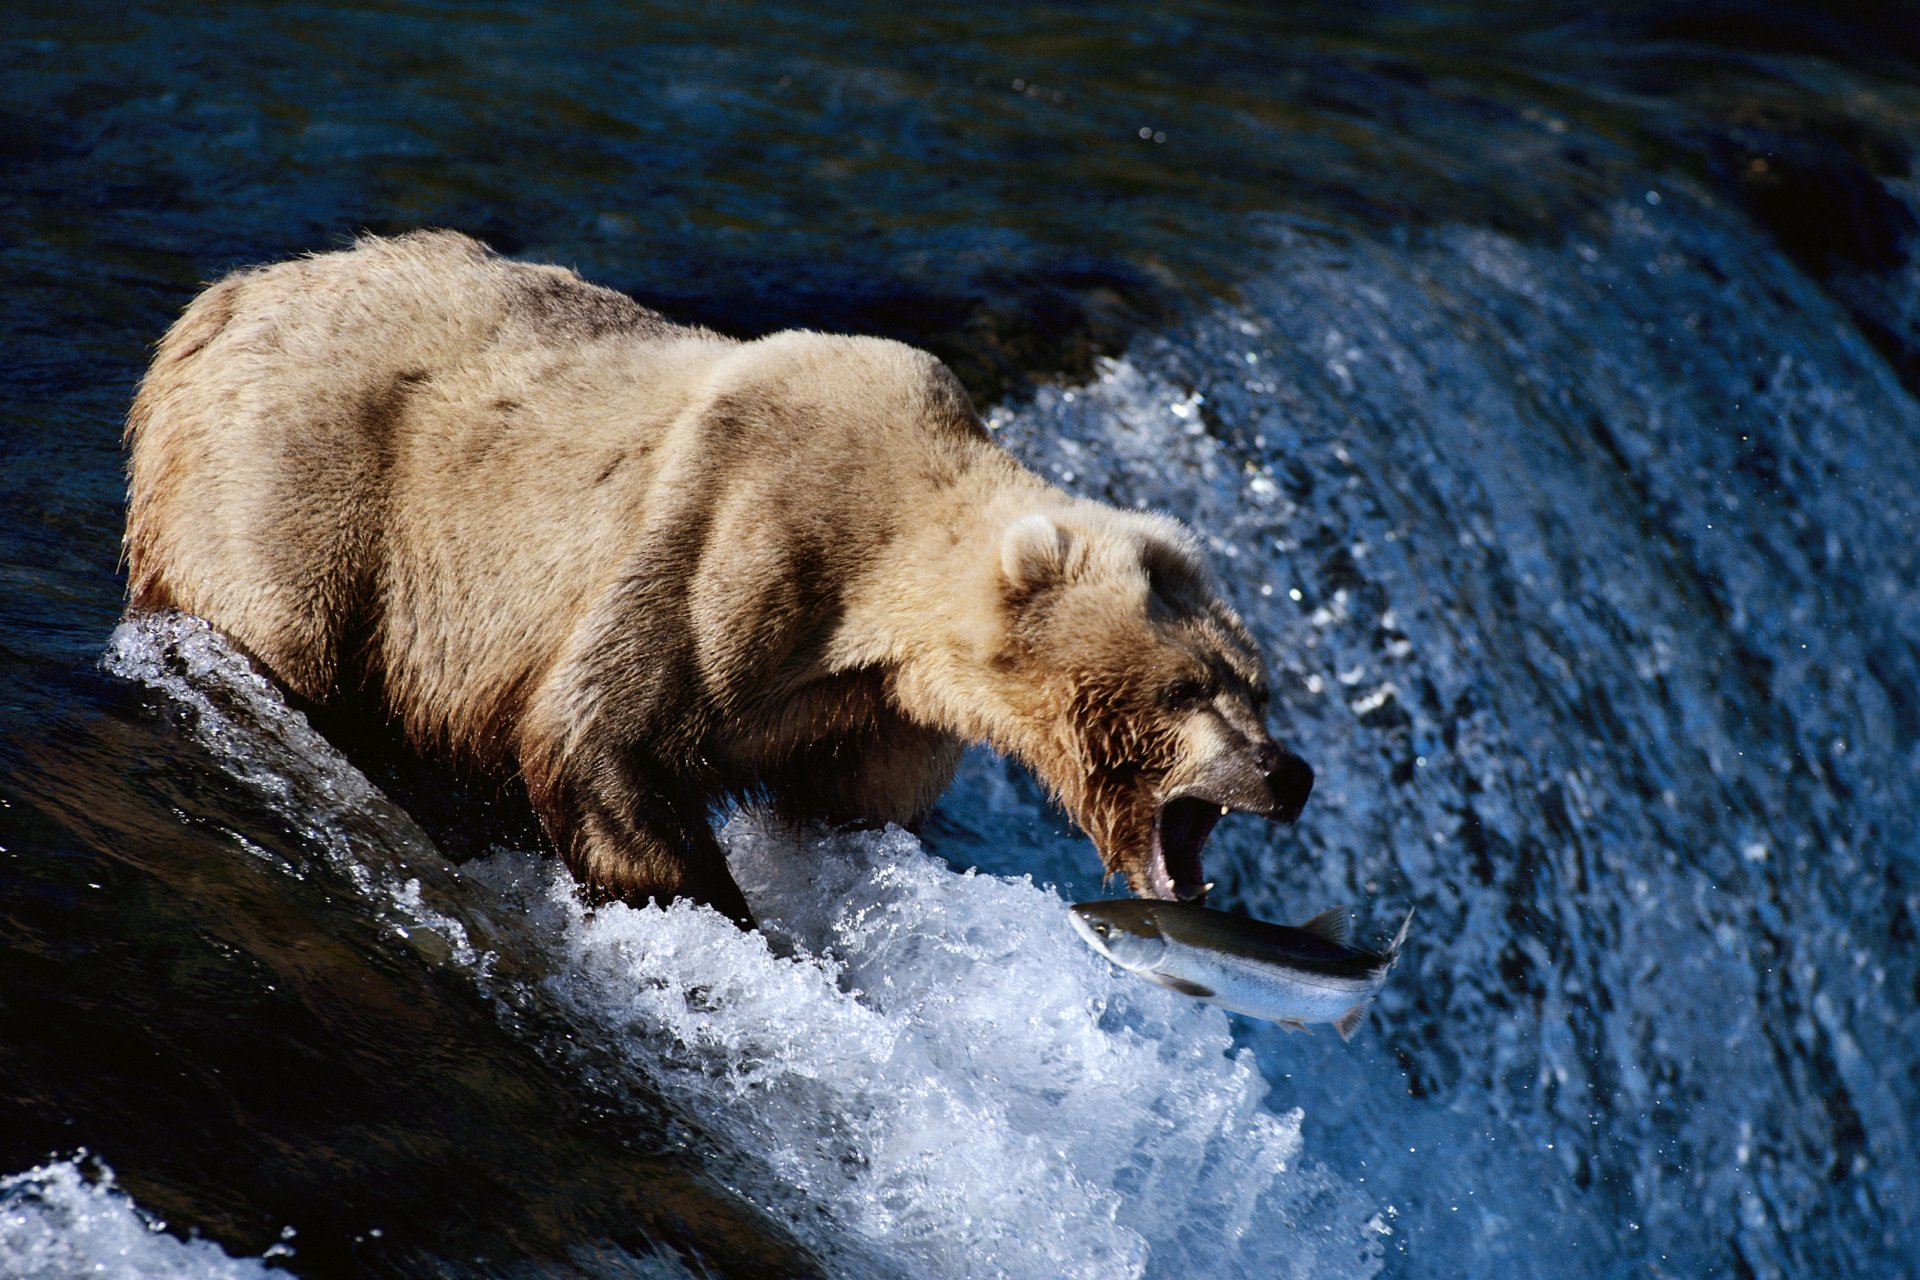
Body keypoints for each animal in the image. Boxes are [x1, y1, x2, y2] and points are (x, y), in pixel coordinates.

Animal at [120, 230, 1313, 924]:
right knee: (285, 631)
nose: (1286, 773)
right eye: (1188, 687)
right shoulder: (740, 541)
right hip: (305, 480)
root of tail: (219, 299)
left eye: (1257, 683)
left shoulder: (871, 714)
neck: (881, 605)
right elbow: (600, 732)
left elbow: (848, 813)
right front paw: (727, 912)